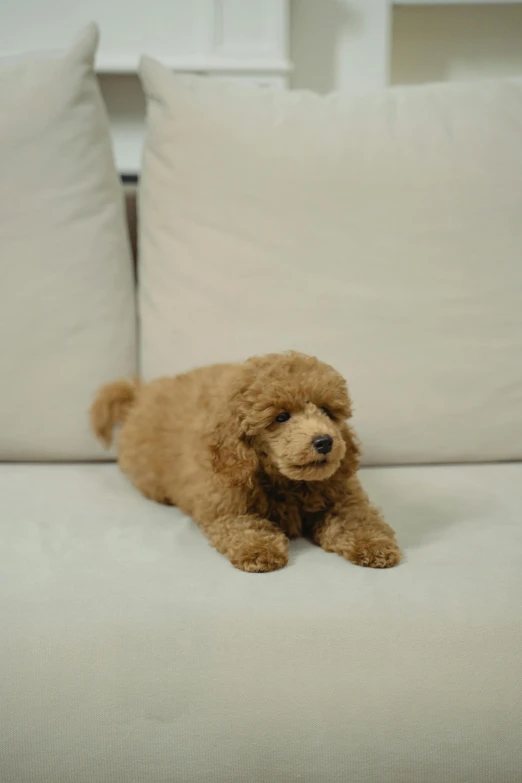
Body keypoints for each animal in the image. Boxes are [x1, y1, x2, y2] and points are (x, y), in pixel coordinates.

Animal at [90, 352, 398, 572]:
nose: (325, 441)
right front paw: (259, 550)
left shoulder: (344, 496)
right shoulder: (226, 504)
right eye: (281, 417)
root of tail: (141, 393)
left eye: (327, 411)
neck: (287, 481)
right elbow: (245, 526)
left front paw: (374, 546)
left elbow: (356, 519)